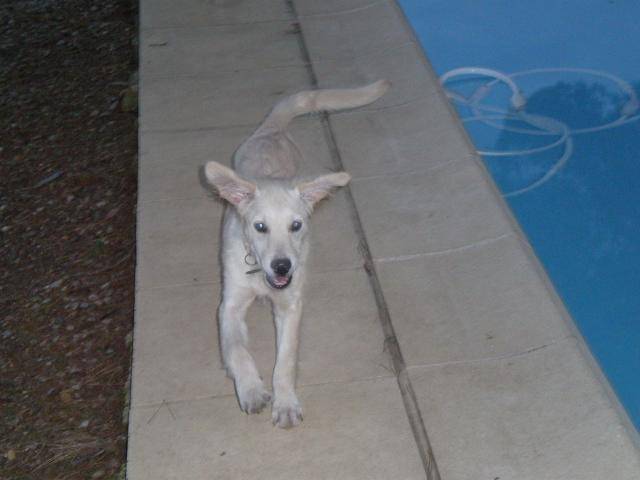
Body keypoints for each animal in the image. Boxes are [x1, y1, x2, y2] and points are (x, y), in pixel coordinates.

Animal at [205, 79, 388, 428]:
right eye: (260, 227)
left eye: (296, 225)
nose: (282, 267)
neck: (261, 277)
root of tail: (272, 129)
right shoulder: (230, 305)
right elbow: (238, 351)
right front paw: (250, 390)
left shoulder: (291, 305)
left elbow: (286, 360)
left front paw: (286, 402)